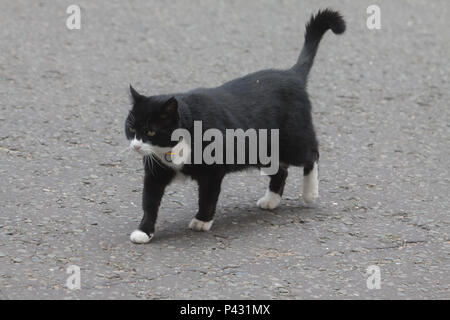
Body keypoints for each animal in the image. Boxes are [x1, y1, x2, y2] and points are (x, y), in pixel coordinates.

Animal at [125, 8, 346, 244]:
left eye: (151, 130)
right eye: (131, 128)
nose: (136, 146)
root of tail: (292, 74)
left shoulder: (212, 171)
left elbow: (207, 197)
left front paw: (202, 220)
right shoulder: (155, 173)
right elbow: (149, 202)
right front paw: (144, 230)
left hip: (293, 140)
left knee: (311, 155)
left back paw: (310, 193)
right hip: (261, 150)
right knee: (281, 171)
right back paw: (271, 200)